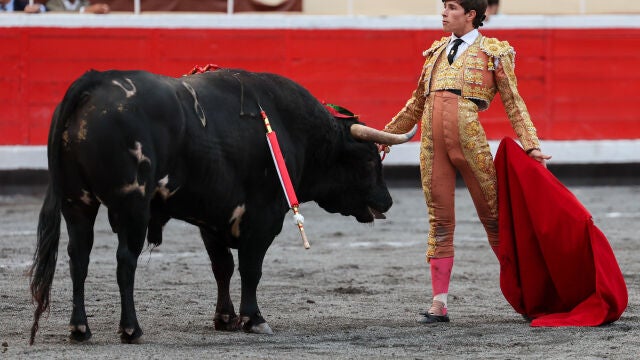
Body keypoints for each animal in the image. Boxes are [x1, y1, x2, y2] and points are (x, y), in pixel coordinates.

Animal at [28, 69, 416, 344]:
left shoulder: (211, 220)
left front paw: (225, 318)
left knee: (78, 257)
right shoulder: (264, 217)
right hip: (131, 205)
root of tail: (94, 82)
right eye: (369, 160)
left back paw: (80, 329)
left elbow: (223, 268)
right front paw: (253, 319)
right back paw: (131, 330)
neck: (295, 131)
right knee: (125, 260)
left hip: (77, 202)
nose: (387, 200)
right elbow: (251, 268)